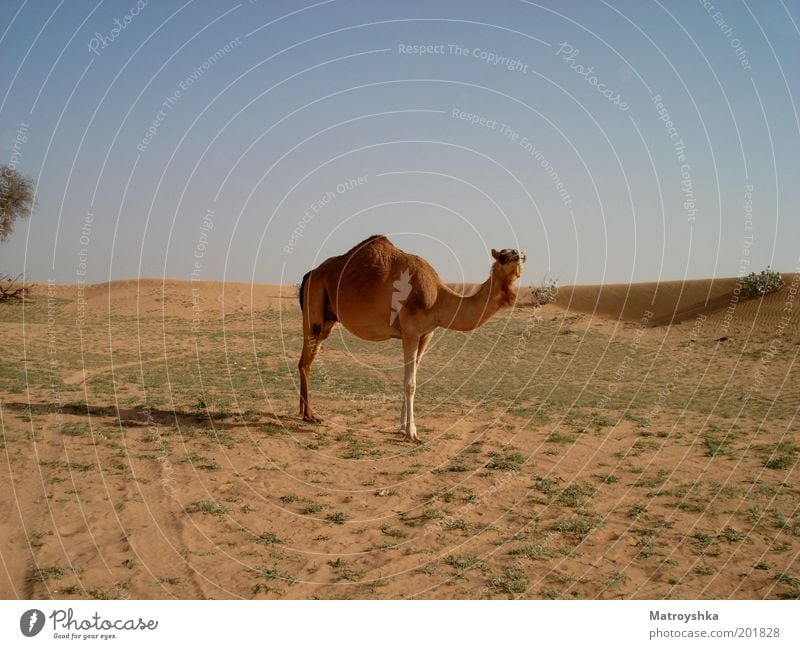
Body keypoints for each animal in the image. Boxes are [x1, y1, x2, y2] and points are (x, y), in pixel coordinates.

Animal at [296, 235, 524, 442]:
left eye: (521, 255)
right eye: (503, 256)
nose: (518, 254)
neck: (437, 298)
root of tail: (310, 273)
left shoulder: (427, 334)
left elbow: (412, 377)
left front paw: (401, 428)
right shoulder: (411, 331)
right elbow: (410, 383)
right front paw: (412, 433)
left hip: (327, 319)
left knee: (305, 360)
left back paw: (303, 412)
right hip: (315, 305)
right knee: (306, 361)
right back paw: (310, 416)